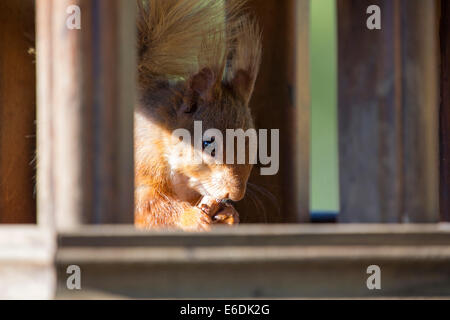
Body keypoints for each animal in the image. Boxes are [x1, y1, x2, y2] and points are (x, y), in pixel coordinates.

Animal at [134, 0, 260, 230]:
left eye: (255, 148)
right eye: (207, 143)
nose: (235, 195)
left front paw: (229, 215)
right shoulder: (142, 166)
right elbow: (150, 206)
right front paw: (192, 217)